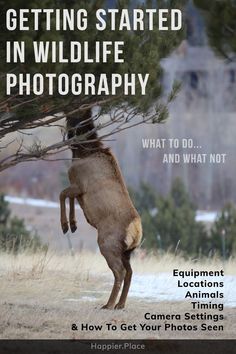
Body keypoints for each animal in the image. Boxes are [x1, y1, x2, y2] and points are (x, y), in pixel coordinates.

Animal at [60, 110, 143, 310]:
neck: (81, 152)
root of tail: (137, 229)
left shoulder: (79, 184)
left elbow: (62, 194)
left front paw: (65, 225)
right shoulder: (77, 188)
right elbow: (69, 198)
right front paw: (73, 224)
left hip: (107, 243)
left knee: (120, 272)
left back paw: (109, 304)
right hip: (127, 251)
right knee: (130, 272)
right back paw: (120, 304)